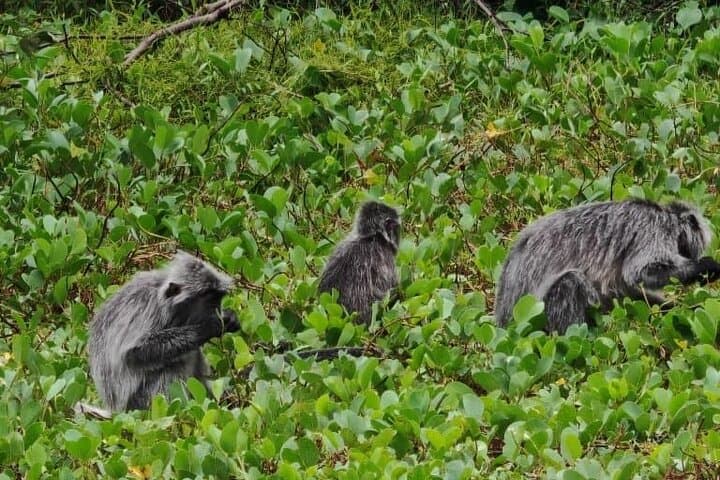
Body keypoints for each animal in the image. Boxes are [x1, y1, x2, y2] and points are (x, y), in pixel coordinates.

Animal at [88, 251, 240, 412]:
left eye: (219, 299)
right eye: (211, 301)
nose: (218, 311)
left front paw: (229, 317)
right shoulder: (147, 307)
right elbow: (133, 352)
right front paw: (209, 327)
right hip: (140, 405)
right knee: (173, 366)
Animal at [495, 199, 720, 334]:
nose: (693, 256)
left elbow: (628, 293)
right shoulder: (652, 227)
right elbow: (639, 272)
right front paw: (705, 266)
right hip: (534, 318)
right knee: (570, 282)